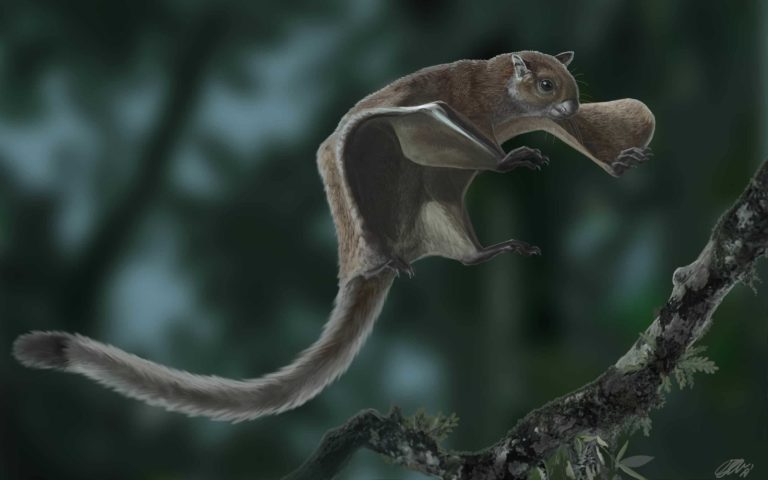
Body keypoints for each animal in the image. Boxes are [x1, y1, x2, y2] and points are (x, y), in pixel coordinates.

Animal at [13, 51, 655, 422]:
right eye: (546, 83)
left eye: (569, 84)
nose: (569, 104)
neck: (497, 97)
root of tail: (362, 259)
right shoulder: (453, 110)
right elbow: (462, 133)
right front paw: (509, 159)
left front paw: (618, 160)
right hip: (379, 199)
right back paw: (395, 260)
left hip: (441, 207)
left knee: (467, 254)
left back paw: (485, 249)